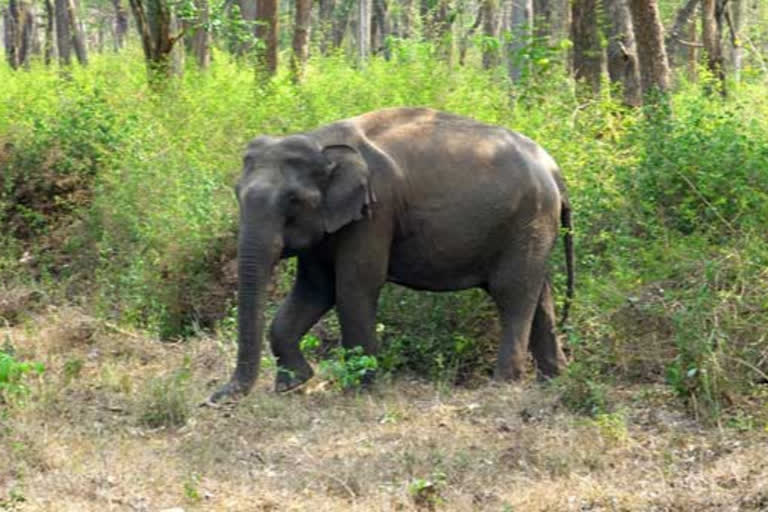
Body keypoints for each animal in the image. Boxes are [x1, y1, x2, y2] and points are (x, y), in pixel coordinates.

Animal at [207, 108, 572, 404]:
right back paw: (554, 380)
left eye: (293, 201)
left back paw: (503, 385)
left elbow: (355, 287)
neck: (321, 142)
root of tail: (555, 169)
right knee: (540, 295)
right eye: (237, 193)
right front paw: (294, 384)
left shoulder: (375, 212)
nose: (213, 399)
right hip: (534, 227)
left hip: (529, 219)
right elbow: (316, 289)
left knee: (512, 293)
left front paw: (361, 390)